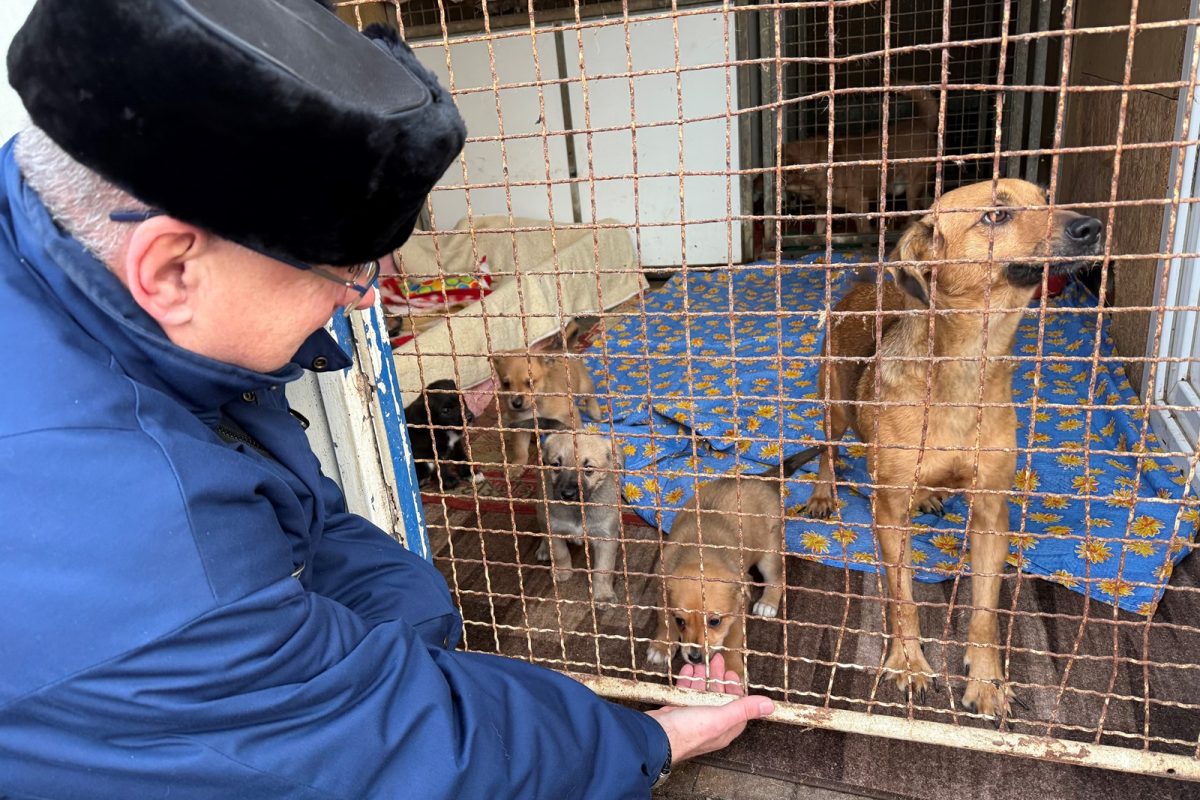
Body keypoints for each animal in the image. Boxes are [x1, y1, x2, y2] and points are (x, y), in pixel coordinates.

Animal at [490, 321, 603, 476]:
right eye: (506, 384)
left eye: (530, 382)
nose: (516, 403)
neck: (536, 406)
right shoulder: (521, 426)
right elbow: (520, 450)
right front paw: (517, 466)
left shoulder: (568, 416)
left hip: (584, 387)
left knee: (591, 396)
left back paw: (594, 411)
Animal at [534, 428, 625, 602]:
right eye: (556, 465)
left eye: (588, 469)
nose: (567, 494)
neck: (578, 510)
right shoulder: (554, 529)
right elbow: (560, 553)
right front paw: (562, 572)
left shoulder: (606, 538)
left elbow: (603, 569)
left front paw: (603, 595)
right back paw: (543, 549)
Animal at [646, 448, 817, 679]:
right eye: (680, 621)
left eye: (715, 622)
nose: (695, 658)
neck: (700, 552)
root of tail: (762, 479)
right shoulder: (662, 592)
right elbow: (664, 622)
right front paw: (662, 646)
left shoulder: (737, 612)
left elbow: (734, 642)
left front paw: (732, 670)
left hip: (769, 553)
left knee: (777, 577)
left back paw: (768, 603)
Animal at [781, 86, 939, 234]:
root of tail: (923, 123)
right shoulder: (821, 209)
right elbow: (818, 232)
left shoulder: (860, 205)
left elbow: (863, 232)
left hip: (913, 186)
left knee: (914, 212)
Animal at [801, 178, 1103, 715]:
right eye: (996, 214)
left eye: (1047, 200)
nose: (1093, 226)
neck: (967, 368)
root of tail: (867, 285)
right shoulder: (888, 514)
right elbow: (902, 597)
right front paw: (908, 662)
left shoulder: (991, 514)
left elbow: (985, 610)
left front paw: (986, 680)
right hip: (833, 406)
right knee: (827, 452)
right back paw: (822, 494)